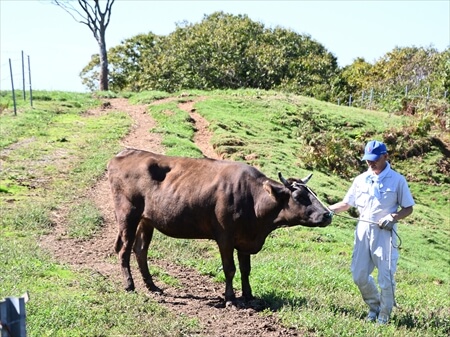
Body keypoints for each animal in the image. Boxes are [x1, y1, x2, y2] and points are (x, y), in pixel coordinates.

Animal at [108, 148, 334, 304]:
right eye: (299, 196)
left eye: (312, 193)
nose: (327, 214)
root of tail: (125, 152)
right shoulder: (225, 236)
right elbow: (230, 268)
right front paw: (230, 299)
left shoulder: (245, 239)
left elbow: (246, 269)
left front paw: (249, 295)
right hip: (127, 214)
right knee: (124, 249)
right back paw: (130, 285)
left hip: (146, 220)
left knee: (140, 250)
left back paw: (152, 286)